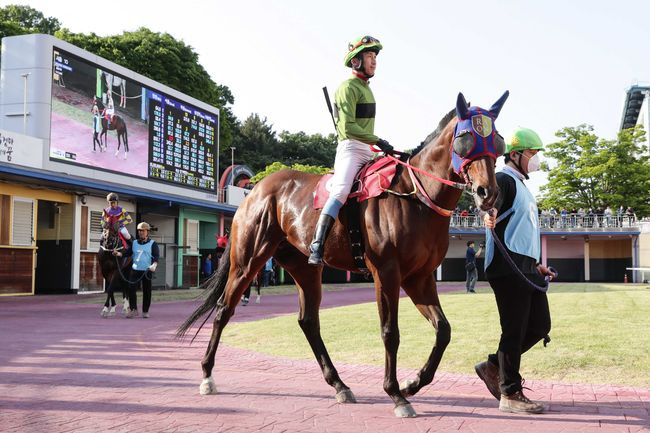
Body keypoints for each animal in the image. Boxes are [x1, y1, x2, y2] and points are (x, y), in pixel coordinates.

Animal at [177, 90, 506, 416]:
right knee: (224, 309)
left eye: (498, 142)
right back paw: (207, 375)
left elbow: (443, 330)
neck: (415, 197)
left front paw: (413, 383)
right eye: (466, 138)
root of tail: (255, 190)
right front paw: (395, 393)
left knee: (308, 320)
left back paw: (339, 384)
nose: (487, 192)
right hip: (248, 260)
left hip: (305, 267)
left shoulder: (420, 277)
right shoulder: (387, 273)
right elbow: (390, 332)